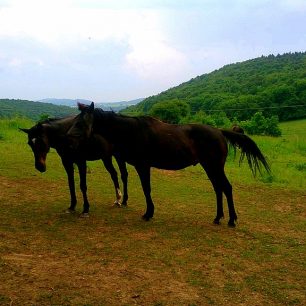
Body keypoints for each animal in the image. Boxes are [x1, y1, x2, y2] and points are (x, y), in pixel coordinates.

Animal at [68, 104, 268, 226]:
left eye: (81, 121)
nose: (68, 138)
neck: (132, 131)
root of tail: (219, 131)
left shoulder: (143, 166)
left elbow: (146, 189)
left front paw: (148, 213)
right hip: (210, 167)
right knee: (218, 189)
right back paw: (218, 217)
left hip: (215, 167)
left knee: (226, 188)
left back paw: (232, 220)